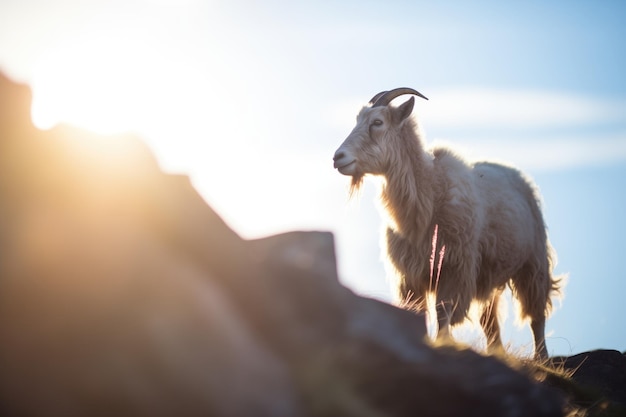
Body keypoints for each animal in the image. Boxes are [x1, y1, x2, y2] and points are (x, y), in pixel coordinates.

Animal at [332, 88, 560, 358]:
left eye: (377, 122)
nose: (338, 157)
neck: (430, 191)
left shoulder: (454, 267)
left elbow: (443, 312)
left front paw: (443, 342)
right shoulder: (412, 275)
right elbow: (418, 313)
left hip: (533, 263)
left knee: (537, 316)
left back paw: (542, 358)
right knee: (489, 321)